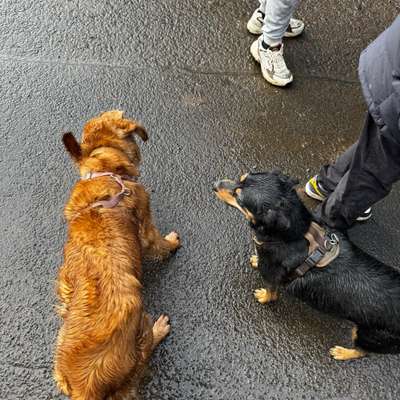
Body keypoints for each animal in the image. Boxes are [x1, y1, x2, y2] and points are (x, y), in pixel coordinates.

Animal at [54, 111, 180, 400]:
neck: (103, 170)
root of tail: (86, 387)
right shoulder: (145, 220)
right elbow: (157, 241)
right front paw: (172, 243)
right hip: (140, 325)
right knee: (146, 350)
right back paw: (159, 329)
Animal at [216, 170, 400, 360]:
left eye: (238, 197)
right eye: (241, 178)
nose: (215, 185)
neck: (294, 234)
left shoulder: (271, 276)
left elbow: (271, 293)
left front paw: (264, 296)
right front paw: (256, 259)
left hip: (369, 335)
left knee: (362, 351)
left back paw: (343, 352)